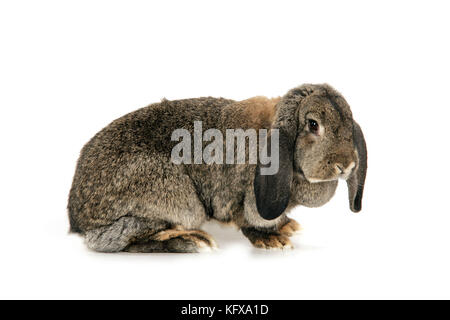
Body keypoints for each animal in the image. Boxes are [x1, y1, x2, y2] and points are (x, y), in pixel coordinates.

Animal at [68, 84, 368, 254]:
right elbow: (251, 221)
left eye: (349, 120)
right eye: (313, 124)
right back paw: (193, 242)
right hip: (181, 202)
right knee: (113, 241)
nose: (346, 165)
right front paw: (272, 241)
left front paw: (288, 226)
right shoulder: (248, 200)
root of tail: (78, 221)